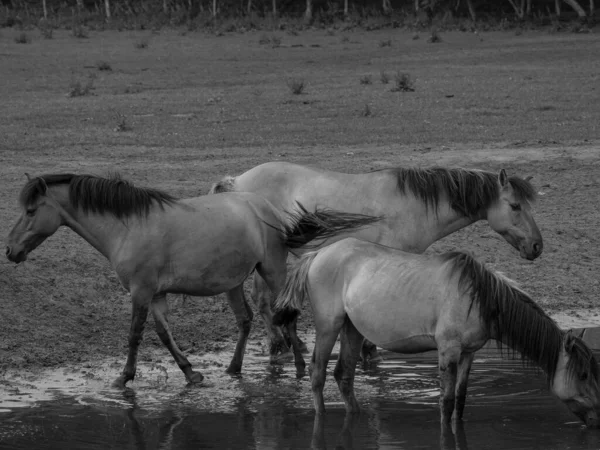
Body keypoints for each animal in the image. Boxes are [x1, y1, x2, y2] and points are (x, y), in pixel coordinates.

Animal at [5, 174, 380, 388]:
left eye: (30, 210)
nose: (10, 250)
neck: (128, 227)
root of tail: (268, 209)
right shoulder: (156, 295)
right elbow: (163, 335)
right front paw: (191, 373)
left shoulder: (141, 292)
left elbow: (135, 334)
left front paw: (123, 378)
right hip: (233, 282)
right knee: (246, 320)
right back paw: (234, 368)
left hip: (272, 271)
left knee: (286, 315)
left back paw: (299, 367)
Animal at [211, 162, 544, 366]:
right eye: (515, 206)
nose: (537, 246)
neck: (413, 205)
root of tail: (238, 181)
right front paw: (370, 350)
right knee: (262, 299)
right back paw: (279, 345)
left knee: (264, 299)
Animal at [274, 237, 600, 428]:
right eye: (583, 375)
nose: (597, 419)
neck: (480, 298)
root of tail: (318, 253)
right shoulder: (448, 351)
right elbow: (445, 401)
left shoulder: (468, 354)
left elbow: (461, 399)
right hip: (328, 326)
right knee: (317, 374)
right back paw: (321, 418)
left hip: (352, 329)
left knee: (343, 375)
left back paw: (355, 416)